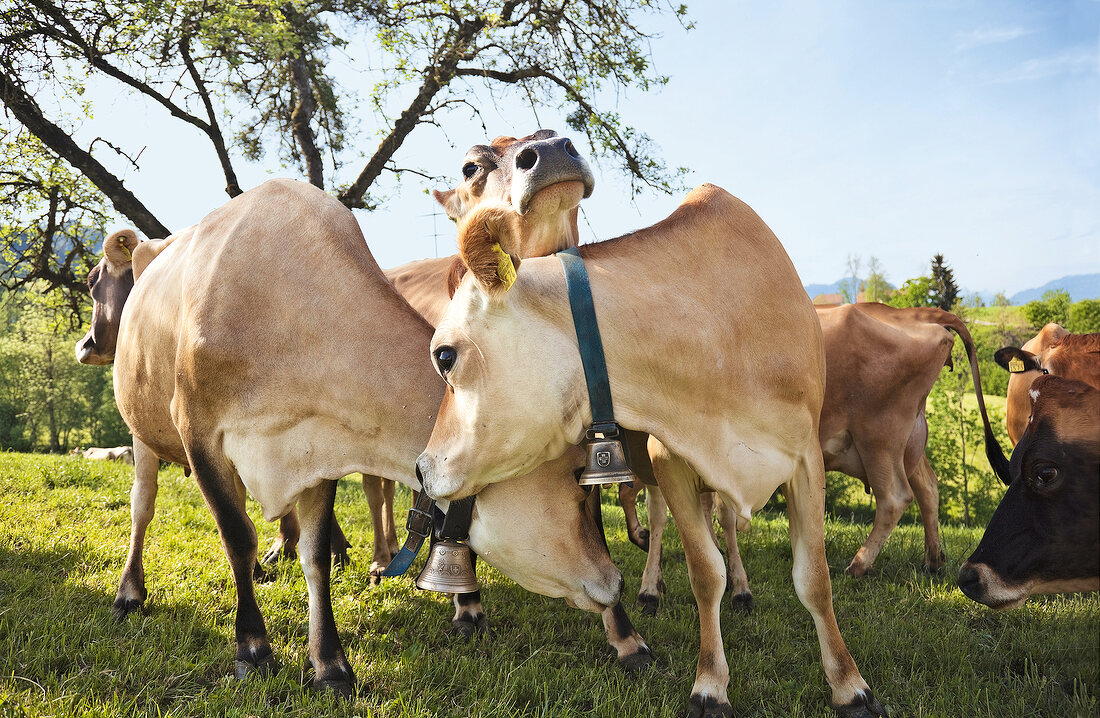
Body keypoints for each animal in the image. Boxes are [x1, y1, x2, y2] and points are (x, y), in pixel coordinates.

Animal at [108, 179, 646, 694]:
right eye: (575, 481)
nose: (615, 580)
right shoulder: (200, 434)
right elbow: (236, 538)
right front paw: (253, 648)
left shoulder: (317, 447)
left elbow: (315, 556)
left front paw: (330, 665)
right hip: (142, 433)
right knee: (143, 505)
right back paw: (130, 591)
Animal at [415, 185, 888, 716]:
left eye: (444, 356)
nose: (422, 467)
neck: (717, 332)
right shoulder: (671, 459)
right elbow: (705, 573)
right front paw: (710, 685)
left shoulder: (807, 460)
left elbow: (814, 579)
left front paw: (850, 686)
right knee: (662, 523)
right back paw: (650, 588)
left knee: (726, 523)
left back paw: (741, 590)